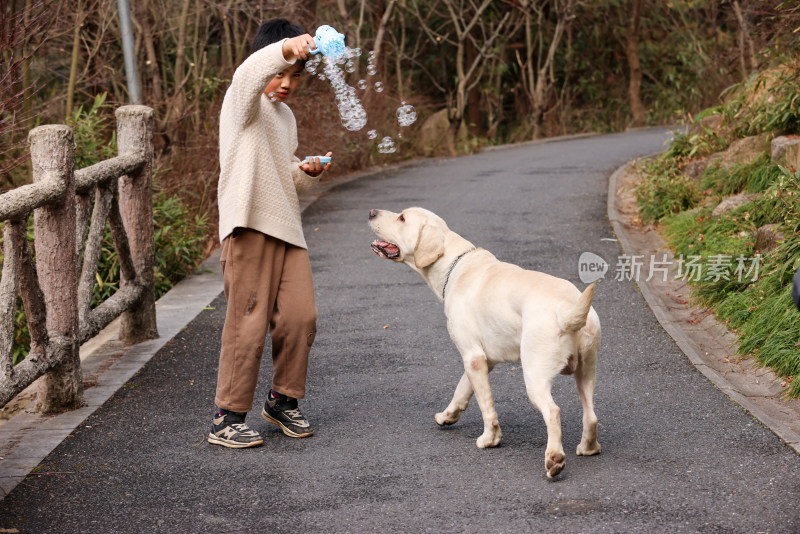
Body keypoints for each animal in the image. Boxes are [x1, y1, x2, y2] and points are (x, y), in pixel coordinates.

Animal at [368, 207, 600, 480]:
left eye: (402, 217)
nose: (371, 212)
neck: (454, 265)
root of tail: (567, 310)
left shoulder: (473, 358)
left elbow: (485, 406)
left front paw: (490, 439)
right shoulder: (482, 360)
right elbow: (462, 390)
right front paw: (447, 416)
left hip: (535, 376)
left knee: (553, 412)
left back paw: (554, 459)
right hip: (586, 372)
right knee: (591, 416)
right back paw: (588, 447)